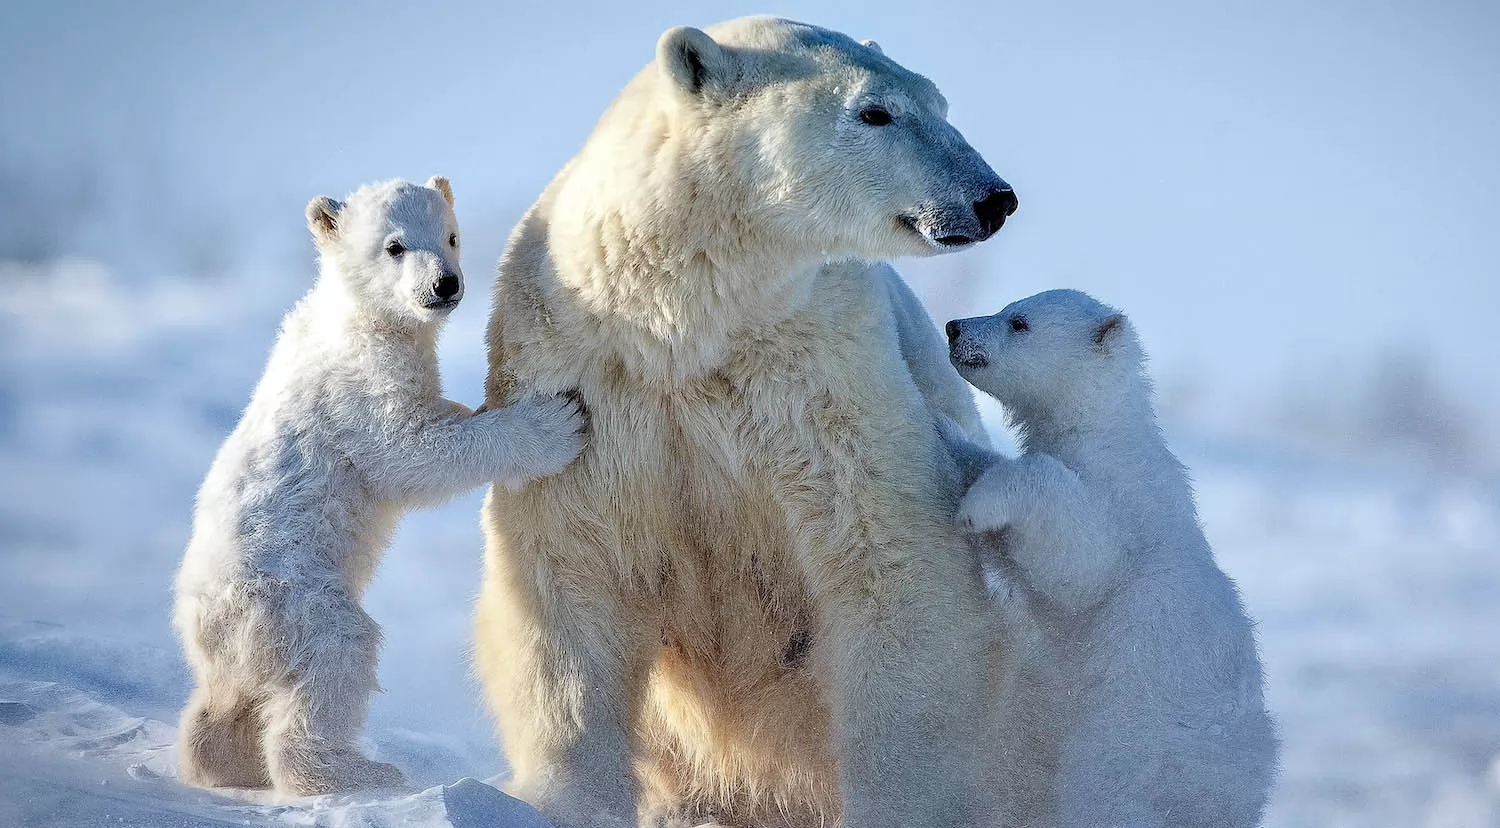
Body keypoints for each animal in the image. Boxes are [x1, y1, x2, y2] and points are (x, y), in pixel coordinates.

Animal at [175, 176, 585, 798]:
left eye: (451, 235)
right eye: (395, 246)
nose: (445, 283)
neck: (356, 315)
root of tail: (200, 625)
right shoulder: (359, 383)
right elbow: (409, 451)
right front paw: (553, 422)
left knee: (227, 700)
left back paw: (219, 761)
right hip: (290, 598)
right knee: (336, 654)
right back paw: (356, 771)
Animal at [477, 17, 1020, 828]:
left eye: (938, 101)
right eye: (875, 112)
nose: (993, 198)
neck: (686, 323)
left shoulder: (822, 372)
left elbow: (887, 562)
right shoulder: (584, 381)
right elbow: (570, 574)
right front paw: (568, 800)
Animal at [936, 291, 1278, 828]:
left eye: (1018, 322)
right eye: (1009, 307)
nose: (954, 326)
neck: (1104, 430)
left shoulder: (1123, 503)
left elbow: (1083, 565)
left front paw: (978, 505)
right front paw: (952, 436)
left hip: (1132, 746)